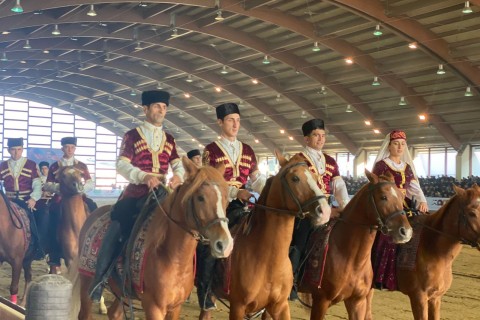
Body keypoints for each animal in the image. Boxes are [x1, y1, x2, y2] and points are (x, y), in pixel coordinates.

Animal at [76, 158, 235, 320]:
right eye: (200, 197)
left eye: (226, 198)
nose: (225, 244)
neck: (174, 259)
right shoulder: (154, 307)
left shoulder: (175, 308)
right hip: (86, 281)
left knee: (114, 313)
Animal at [198, 152, 330, 320]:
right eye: (295, 178)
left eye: (314, 176)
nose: (325, 211)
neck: (267, 260)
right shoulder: (238, 307)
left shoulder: (279, 306)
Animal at [298, 171, 414, 318]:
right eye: (383, 197)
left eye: (401, 196)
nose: (406, 232)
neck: (349, 258)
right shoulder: (320, 301)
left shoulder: (357, 302)